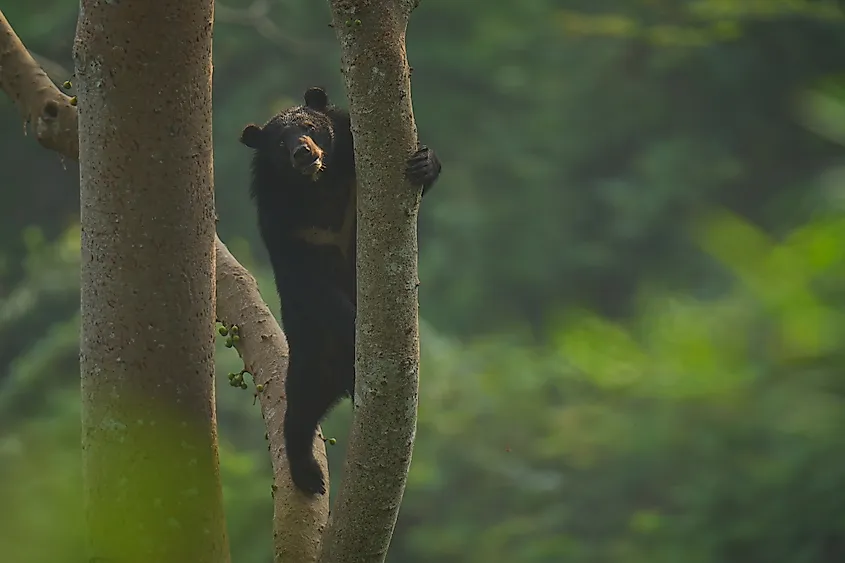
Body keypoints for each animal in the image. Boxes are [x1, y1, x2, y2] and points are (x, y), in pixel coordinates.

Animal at [239, 86, 442, 496]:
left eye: (309, 126)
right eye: (279, 143)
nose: (303, 153)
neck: (317, 187)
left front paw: (424, 163)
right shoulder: (283, 225)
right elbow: (310, 281)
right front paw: (354, 322)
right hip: (311, 355)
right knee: (299, 412)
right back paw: (308, 475)